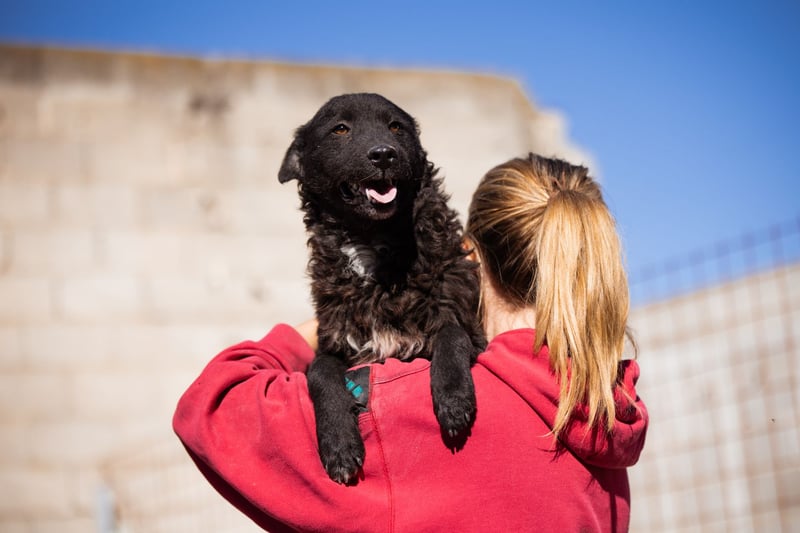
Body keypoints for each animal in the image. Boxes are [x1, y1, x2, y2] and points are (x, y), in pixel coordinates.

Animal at [279, 93, 485, 484]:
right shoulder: (336, 343)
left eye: (395, 127)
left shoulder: (468, 324)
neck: (373, 245)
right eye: (340, 129)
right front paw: (339, 444)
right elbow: (319, 373)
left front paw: (453, 398)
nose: (384, 154)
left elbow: (452, 333)